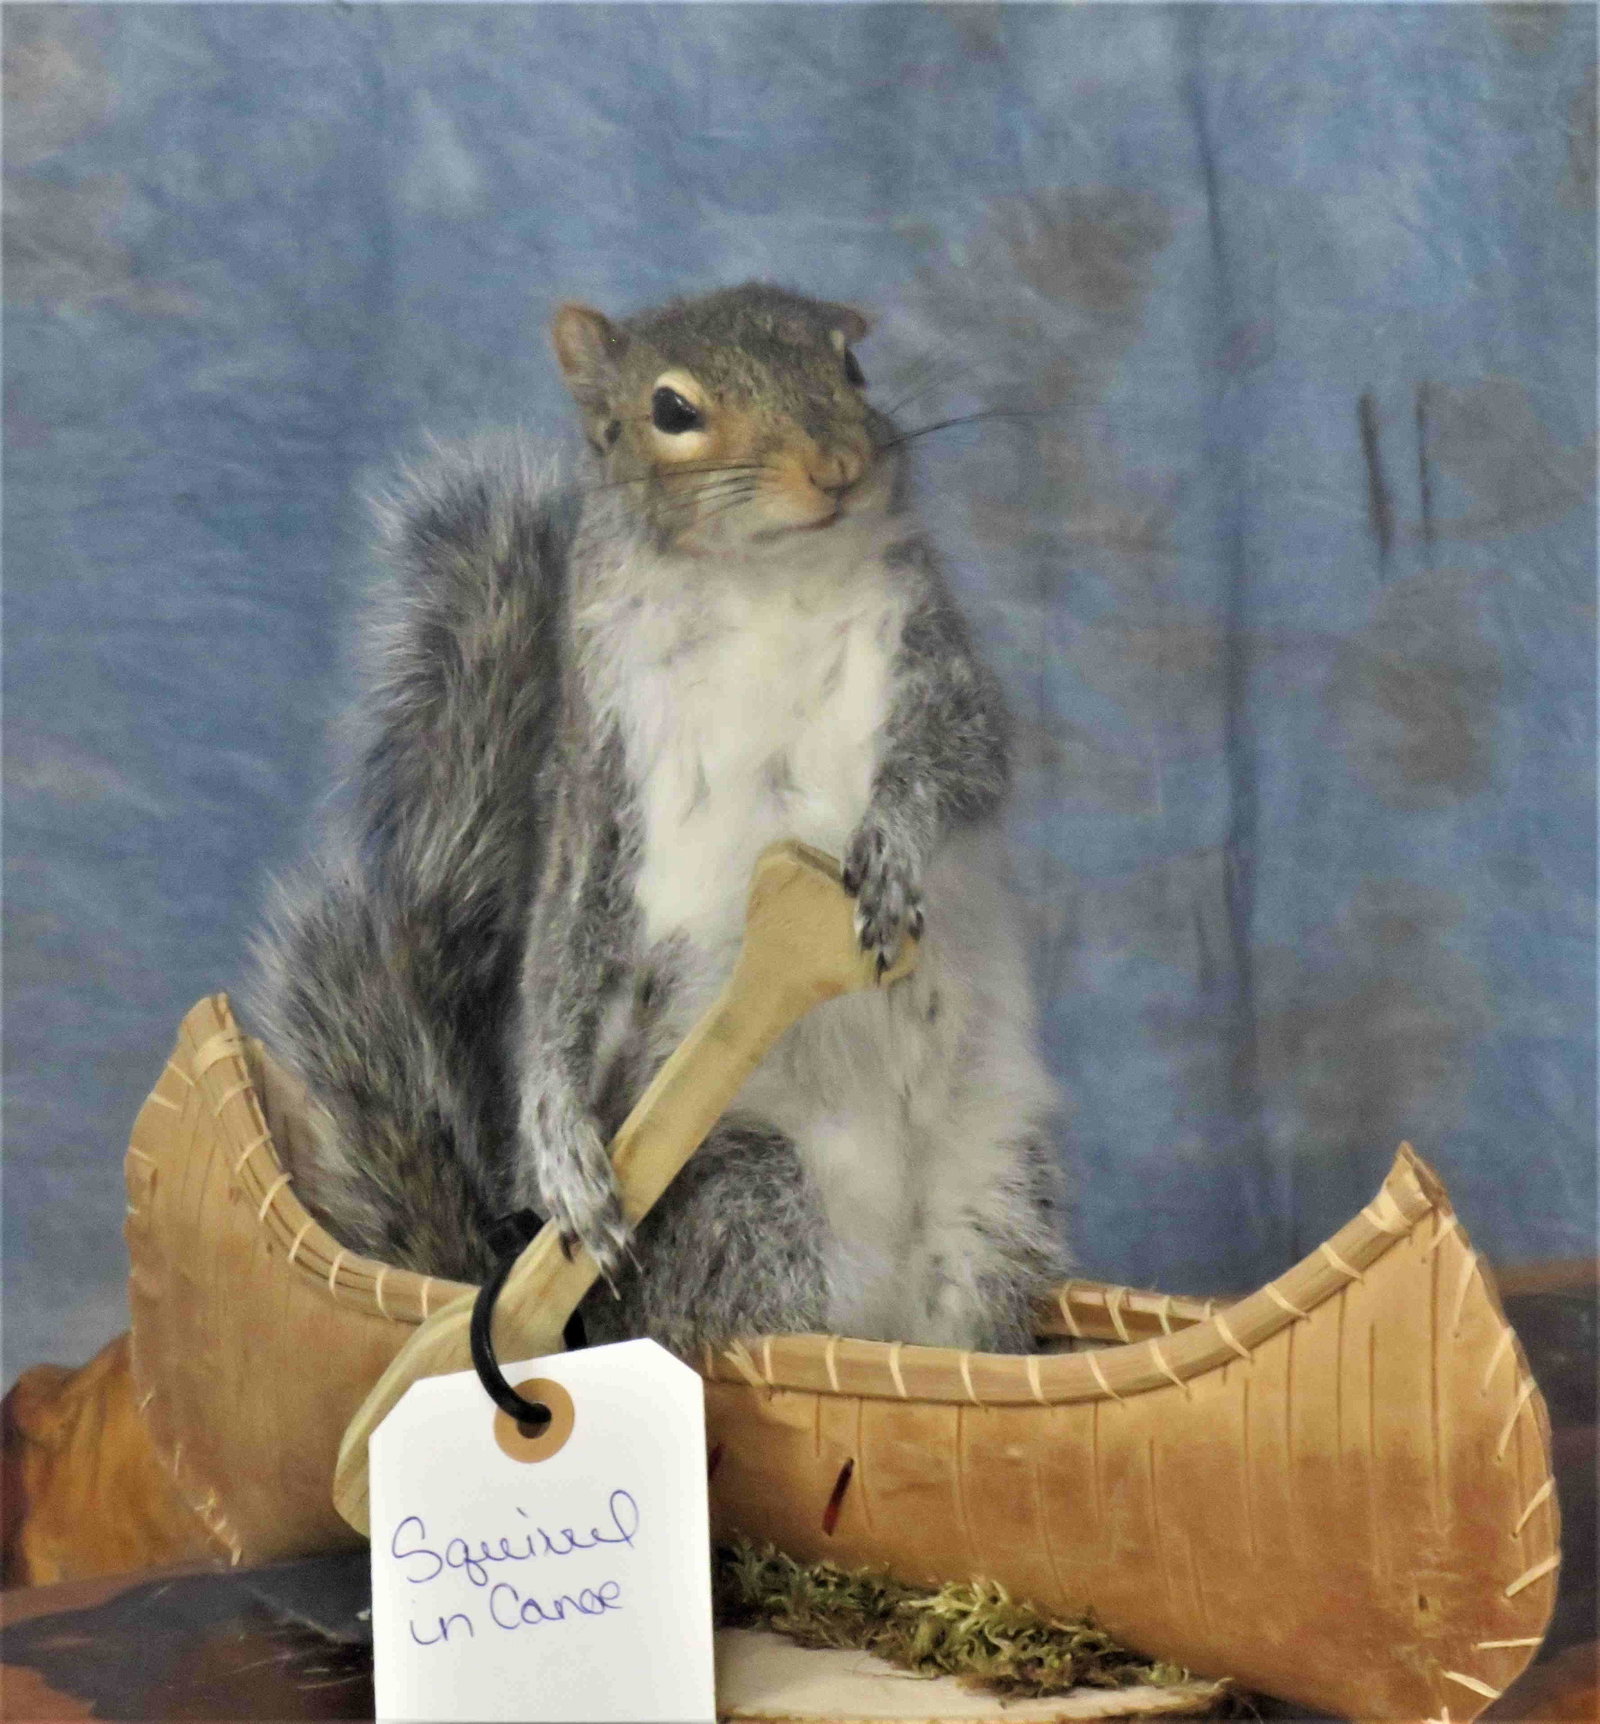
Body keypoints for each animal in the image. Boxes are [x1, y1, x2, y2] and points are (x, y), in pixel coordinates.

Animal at [249, 283, 1063, 1355]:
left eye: (851, 367)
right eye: (671, 410)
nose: (838, 467)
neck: (766, 580)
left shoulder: (936, 661)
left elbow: (964, 760)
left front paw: (890, 846)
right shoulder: (604, 772)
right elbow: (564, 947)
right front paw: (560, 1144)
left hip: (995, 1206)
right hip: (746, 1187)